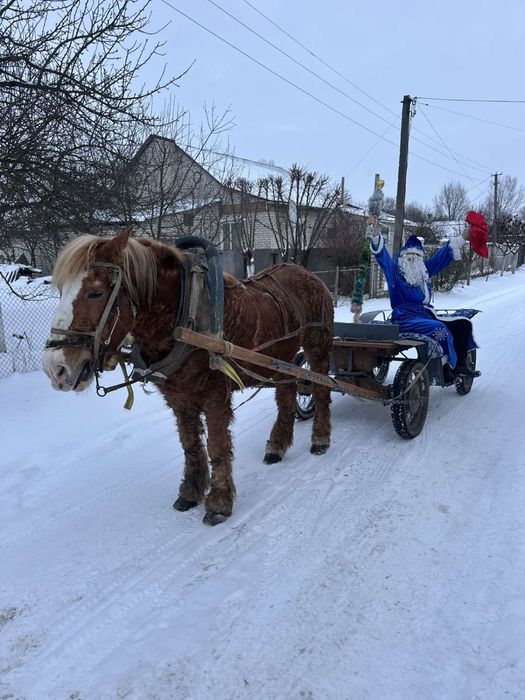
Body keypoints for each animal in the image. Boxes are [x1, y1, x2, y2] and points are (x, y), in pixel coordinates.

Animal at [43, 227, 334, 525]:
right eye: (61, 290)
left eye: (95, 293)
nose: (55, 369)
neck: (184, 316)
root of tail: (307, 274)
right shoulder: (179, 398)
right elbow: (191, 444)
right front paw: (191, 492)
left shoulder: (216, 397)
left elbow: (217, 446)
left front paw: (219, 502)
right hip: (282, 360)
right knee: (286, 397)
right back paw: (277, 445)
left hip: (317, 346)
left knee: (322, 390)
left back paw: (320, 439)